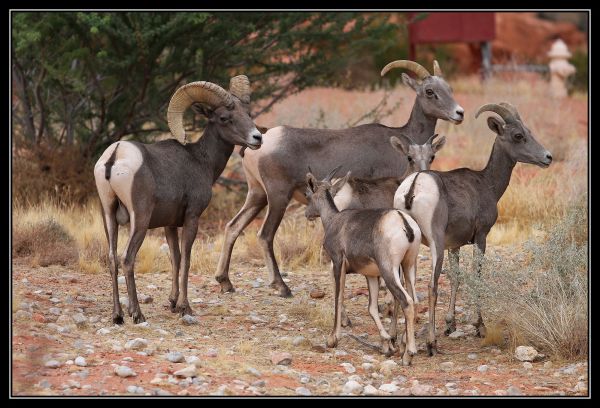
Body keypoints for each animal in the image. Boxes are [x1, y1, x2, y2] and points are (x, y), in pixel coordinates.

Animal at [94, 75, 262, 322]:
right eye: (224, 118)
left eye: (247, 113)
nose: (257, 138)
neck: (201, 160)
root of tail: (115, 156)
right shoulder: (192, 218)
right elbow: (186, 260)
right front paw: (185, 307)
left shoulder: (170, 225)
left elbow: (175, 258)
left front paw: (173, 303)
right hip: (139, 220)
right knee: (127, 258)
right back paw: (137, 314)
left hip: (108, 217)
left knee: (112, 258)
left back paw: (117, 316)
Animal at [216, 59, 464, 296]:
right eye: (430, 91)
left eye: (449, 88)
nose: (459, 113)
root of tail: (260, 141)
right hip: (277, 198)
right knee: (265, 235)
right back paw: (282, 287)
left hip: (257, 195)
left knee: (233, 226)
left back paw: (225, 282)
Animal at [304, 167, 422, 364]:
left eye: (308, 194)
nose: (307, 214)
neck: (336, 220)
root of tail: (403, 221)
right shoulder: (371, 275)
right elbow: (372, 308)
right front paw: (386, 344)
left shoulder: (338, 263)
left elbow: (338, 297)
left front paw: (332, 339)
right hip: (408, 267)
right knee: (415, 299)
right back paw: (403, 344)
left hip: (389, 271)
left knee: (406, 301)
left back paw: (409, 354)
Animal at [394, 103, 552, 356]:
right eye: (518, 135)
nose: (547, 157)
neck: (487, 183)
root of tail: (412, 189)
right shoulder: (481, 238)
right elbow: (476, 277)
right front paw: (480, 327)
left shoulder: (454, 246)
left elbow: (457, 279)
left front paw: (450, 325)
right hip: (434, 244)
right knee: (431, 286)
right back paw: (431, 344)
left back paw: (396, 341)